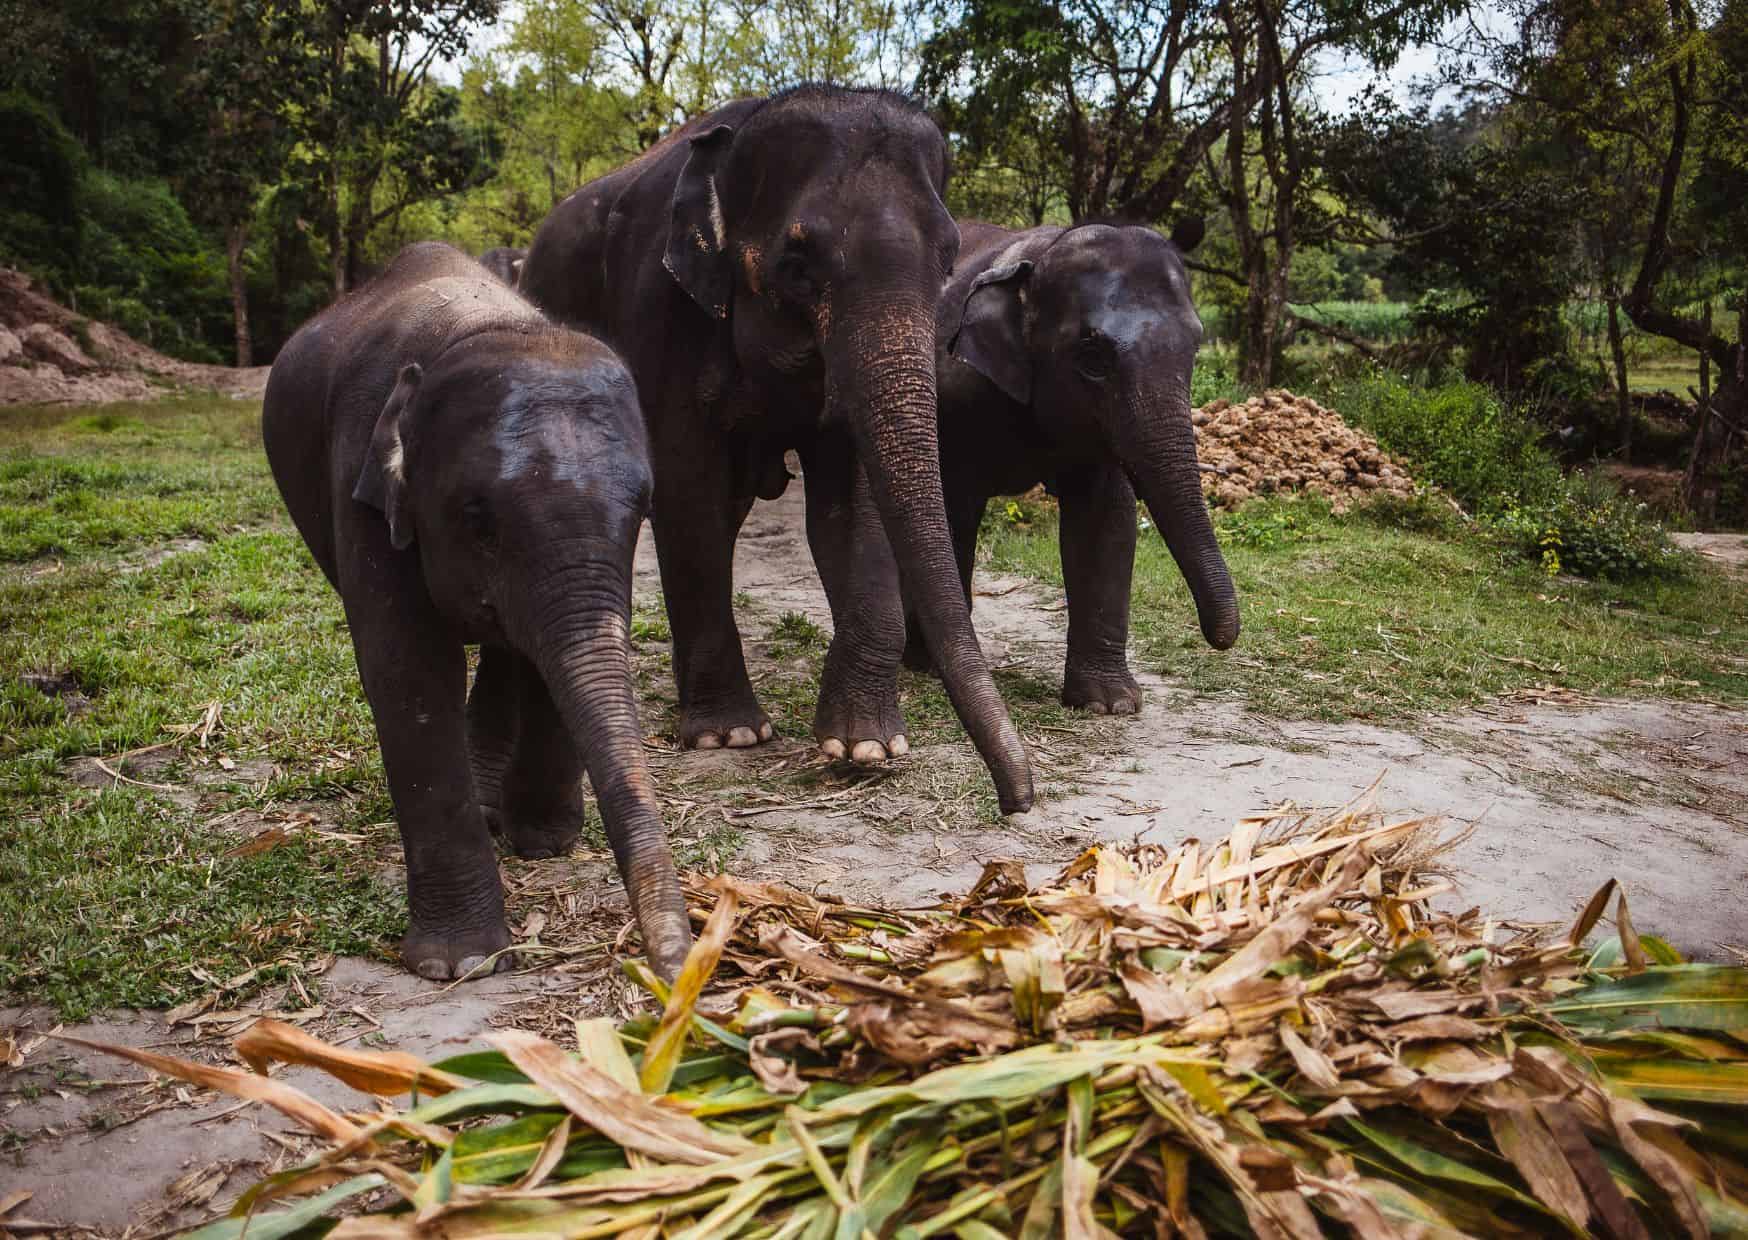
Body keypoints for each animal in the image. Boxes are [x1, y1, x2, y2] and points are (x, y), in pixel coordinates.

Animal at [262, 241, 691, 981]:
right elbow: (407, 670)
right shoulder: (361, 478)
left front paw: (543, 844)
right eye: (476, 518)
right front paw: (459, 963)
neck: (487, 328)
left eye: (644, 509)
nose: (679, 971)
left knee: (508, 647)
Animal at [520, 86, 1034, 814]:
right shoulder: (656, 308)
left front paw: (866, 747)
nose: (1018, 797)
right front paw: (729, 736)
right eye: (797, 265)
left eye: (948, 260)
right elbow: (690, 490)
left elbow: (850, 505)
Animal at [902, 219, 1240, 714]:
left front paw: (1110, 704)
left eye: (1195, 346)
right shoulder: (953, 402)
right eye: (1092, 358)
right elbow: (950, 510)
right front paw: (930, 667)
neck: (1040, 256)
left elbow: (1106, 517)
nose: (1221, 638)